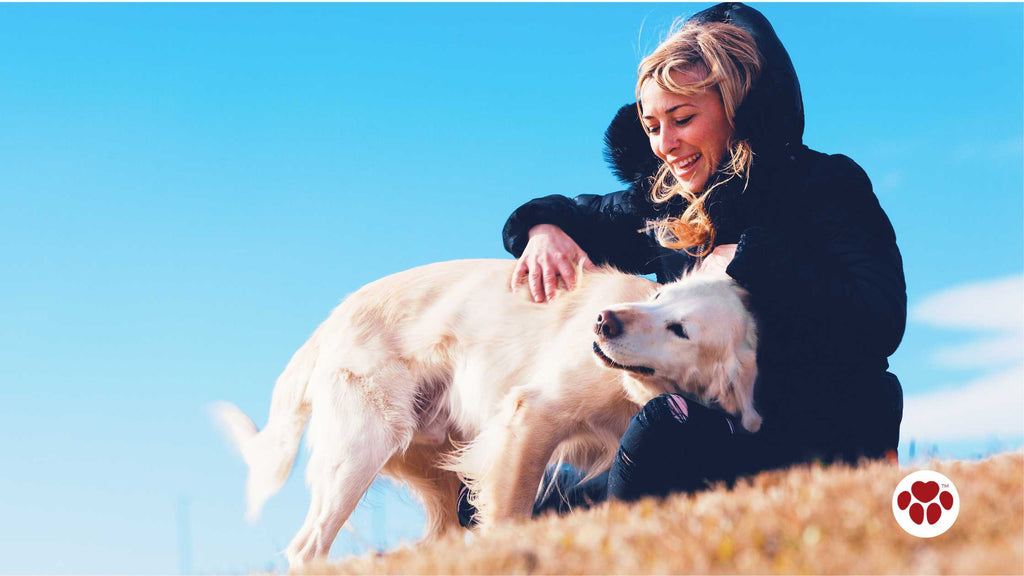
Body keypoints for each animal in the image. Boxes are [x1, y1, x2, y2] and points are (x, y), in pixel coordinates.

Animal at [216, 256, 761, 565]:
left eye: (681, 329)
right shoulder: (532, 415)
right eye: (657, 295)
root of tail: (331, 320)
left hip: (437, 472)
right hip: (359, 452)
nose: (603, 322)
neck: (632, 391)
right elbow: (511, 513)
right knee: (308, 547)